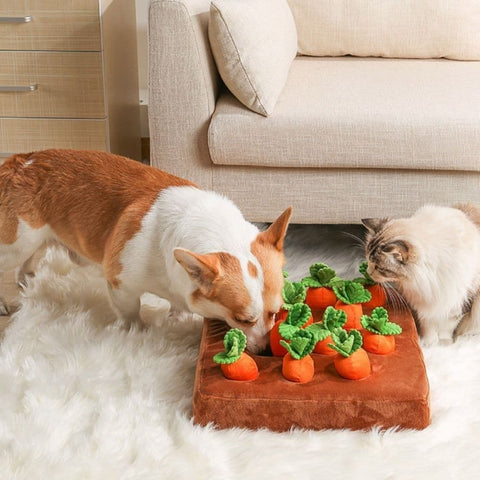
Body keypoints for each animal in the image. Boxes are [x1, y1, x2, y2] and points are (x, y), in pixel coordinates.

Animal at [362, 202, 480, 344]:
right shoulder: (424, 302)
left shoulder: (457, 302)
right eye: (368, 260)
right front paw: (428, 343)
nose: (368, 272)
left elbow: (447, 328)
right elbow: (428, 326)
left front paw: (444, 344)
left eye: (380, 268)